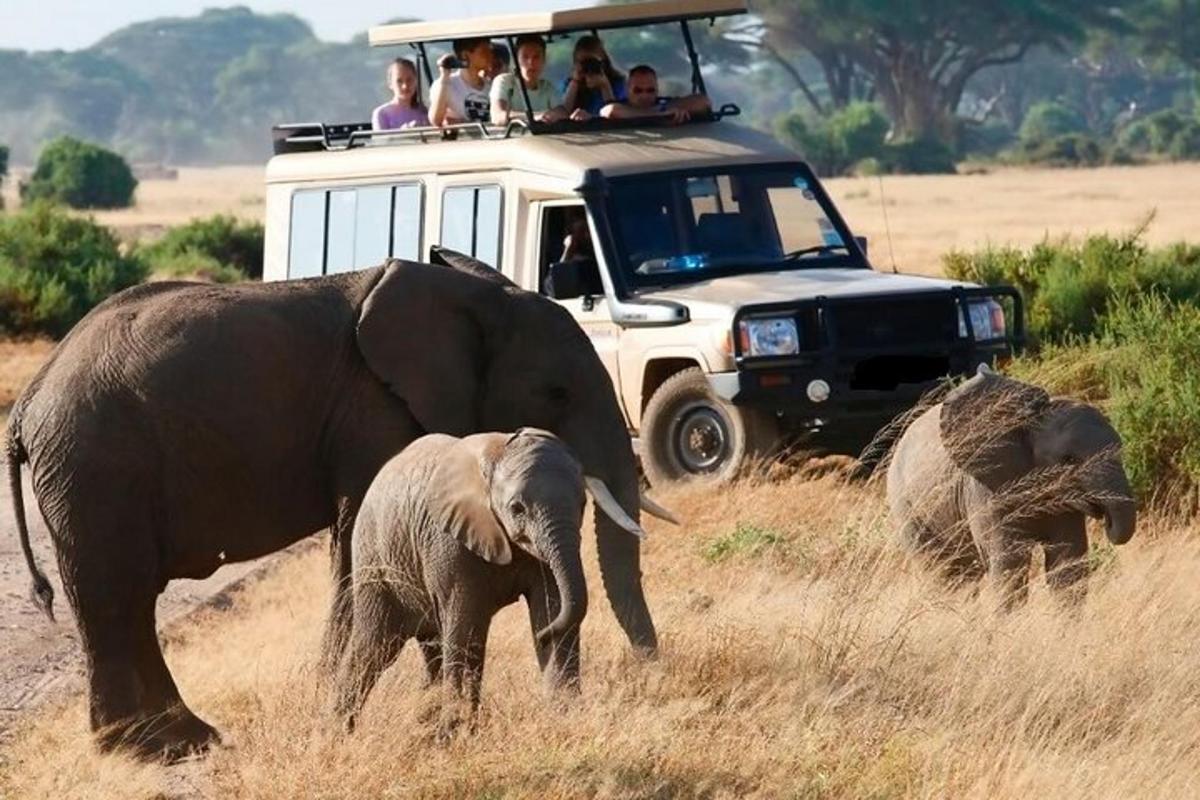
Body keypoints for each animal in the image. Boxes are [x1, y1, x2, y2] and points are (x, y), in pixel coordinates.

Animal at [333, 429, 648, 729]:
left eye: (583, 503)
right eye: (517, 508)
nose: (542, 637)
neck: (497, 454)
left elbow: (553, 607)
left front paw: (566, 713)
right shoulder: (449, 542)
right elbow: (467, 627)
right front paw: (456, 731)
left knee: (431, 647)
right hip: (376, 560)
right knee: (373, 648)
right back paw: (338, 731)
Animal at [892, 371, 1132, 606]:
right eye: (1069, 460)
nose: (1107, 520)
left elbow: (1068, 562)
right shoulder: (986, 491)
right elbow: (1010, 566)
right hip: (906, 508)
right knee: (941, 572)